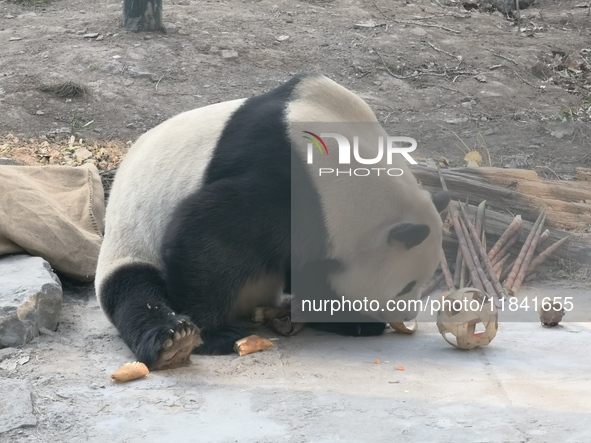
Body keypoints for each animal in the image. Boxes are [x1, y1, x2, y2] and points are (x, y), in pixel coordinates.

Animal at [95, 73, 450, 372]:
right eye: (405, 286)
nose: (406, 314)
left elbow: (314, 273)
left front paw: (351, 320)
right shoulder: (290, 185)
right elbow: (205, 234)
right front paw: (215, 334)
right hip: (131, 237)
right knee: (134, 291)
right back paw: (172, 339)